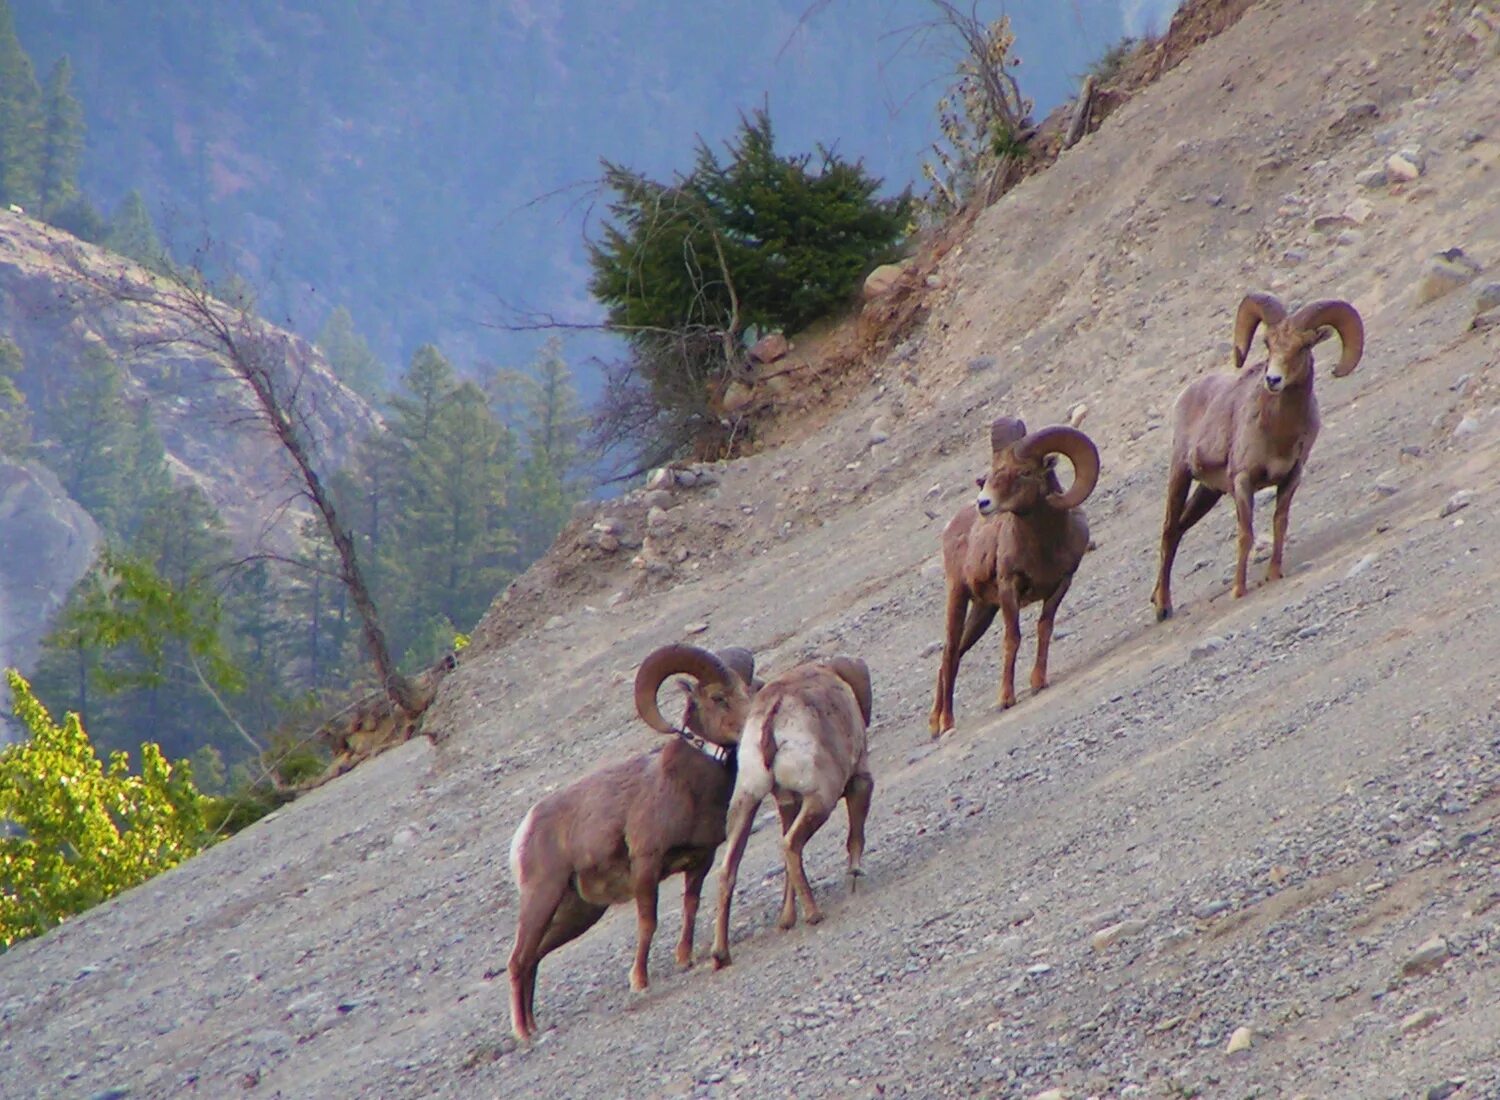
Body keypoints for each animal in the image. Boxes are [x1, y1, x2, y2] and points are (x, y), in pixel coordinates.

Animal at [504, 642, 756, 1038]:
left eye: (747, 690)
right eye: (718, 697)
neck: (687, 786)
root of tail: (525, 830)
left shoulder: (701, 860)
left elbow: (690, 906)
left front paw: (684, 959)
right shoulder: (647, 864)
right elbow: (648, 922)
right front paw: (639, 981)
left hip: (577, 913)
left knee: (534, 957)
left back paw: (533, 1027)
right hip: (541, 897)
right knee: (517, 961)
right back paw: (524, 1035)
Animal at [708, 657, 876, 966]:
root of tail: (774, 713)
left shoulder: (786, 804)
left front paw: (786, 920)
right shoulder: (860, 782)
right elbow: (855, 838)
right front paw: (855, 874)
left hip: (746, 803)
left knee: (729, 869)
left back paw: (721, 954)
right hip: (820, 801)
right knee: (790, 845)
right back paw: (814, 915)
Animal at [924, 417, 1104, 732]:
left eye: (1024, 472)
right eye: (993, 470)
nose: (984, 503)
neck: (1044, 547)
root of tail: (951, 527)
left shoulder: (1061, 584)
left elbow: (1045, 627)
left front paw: (1038, 682)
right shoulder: (1010, 588)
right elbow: (1013, 638)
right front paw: (1006, 699)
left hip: (983, 611)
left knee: (954, 654)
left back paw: (937, 723)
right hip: (958, 597)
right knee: (949, 653)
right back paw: (945, 723)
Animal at [1152, 291, 1368, 618]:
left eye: (1304, 346)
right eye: (1268, 343)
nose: (1273, 380)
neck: (1278, 433)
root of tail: (1186, 394)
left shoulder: (1291, 478)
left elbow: (1280, 522)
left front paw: (1274, 574)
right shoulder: (1243, 481)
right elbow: (1246, 534)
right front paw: (1239, 590)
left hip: (1209, 492)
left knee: (1178, 529)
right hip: (1180, 474)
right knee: (1167, 530)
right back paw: (1162, 607)